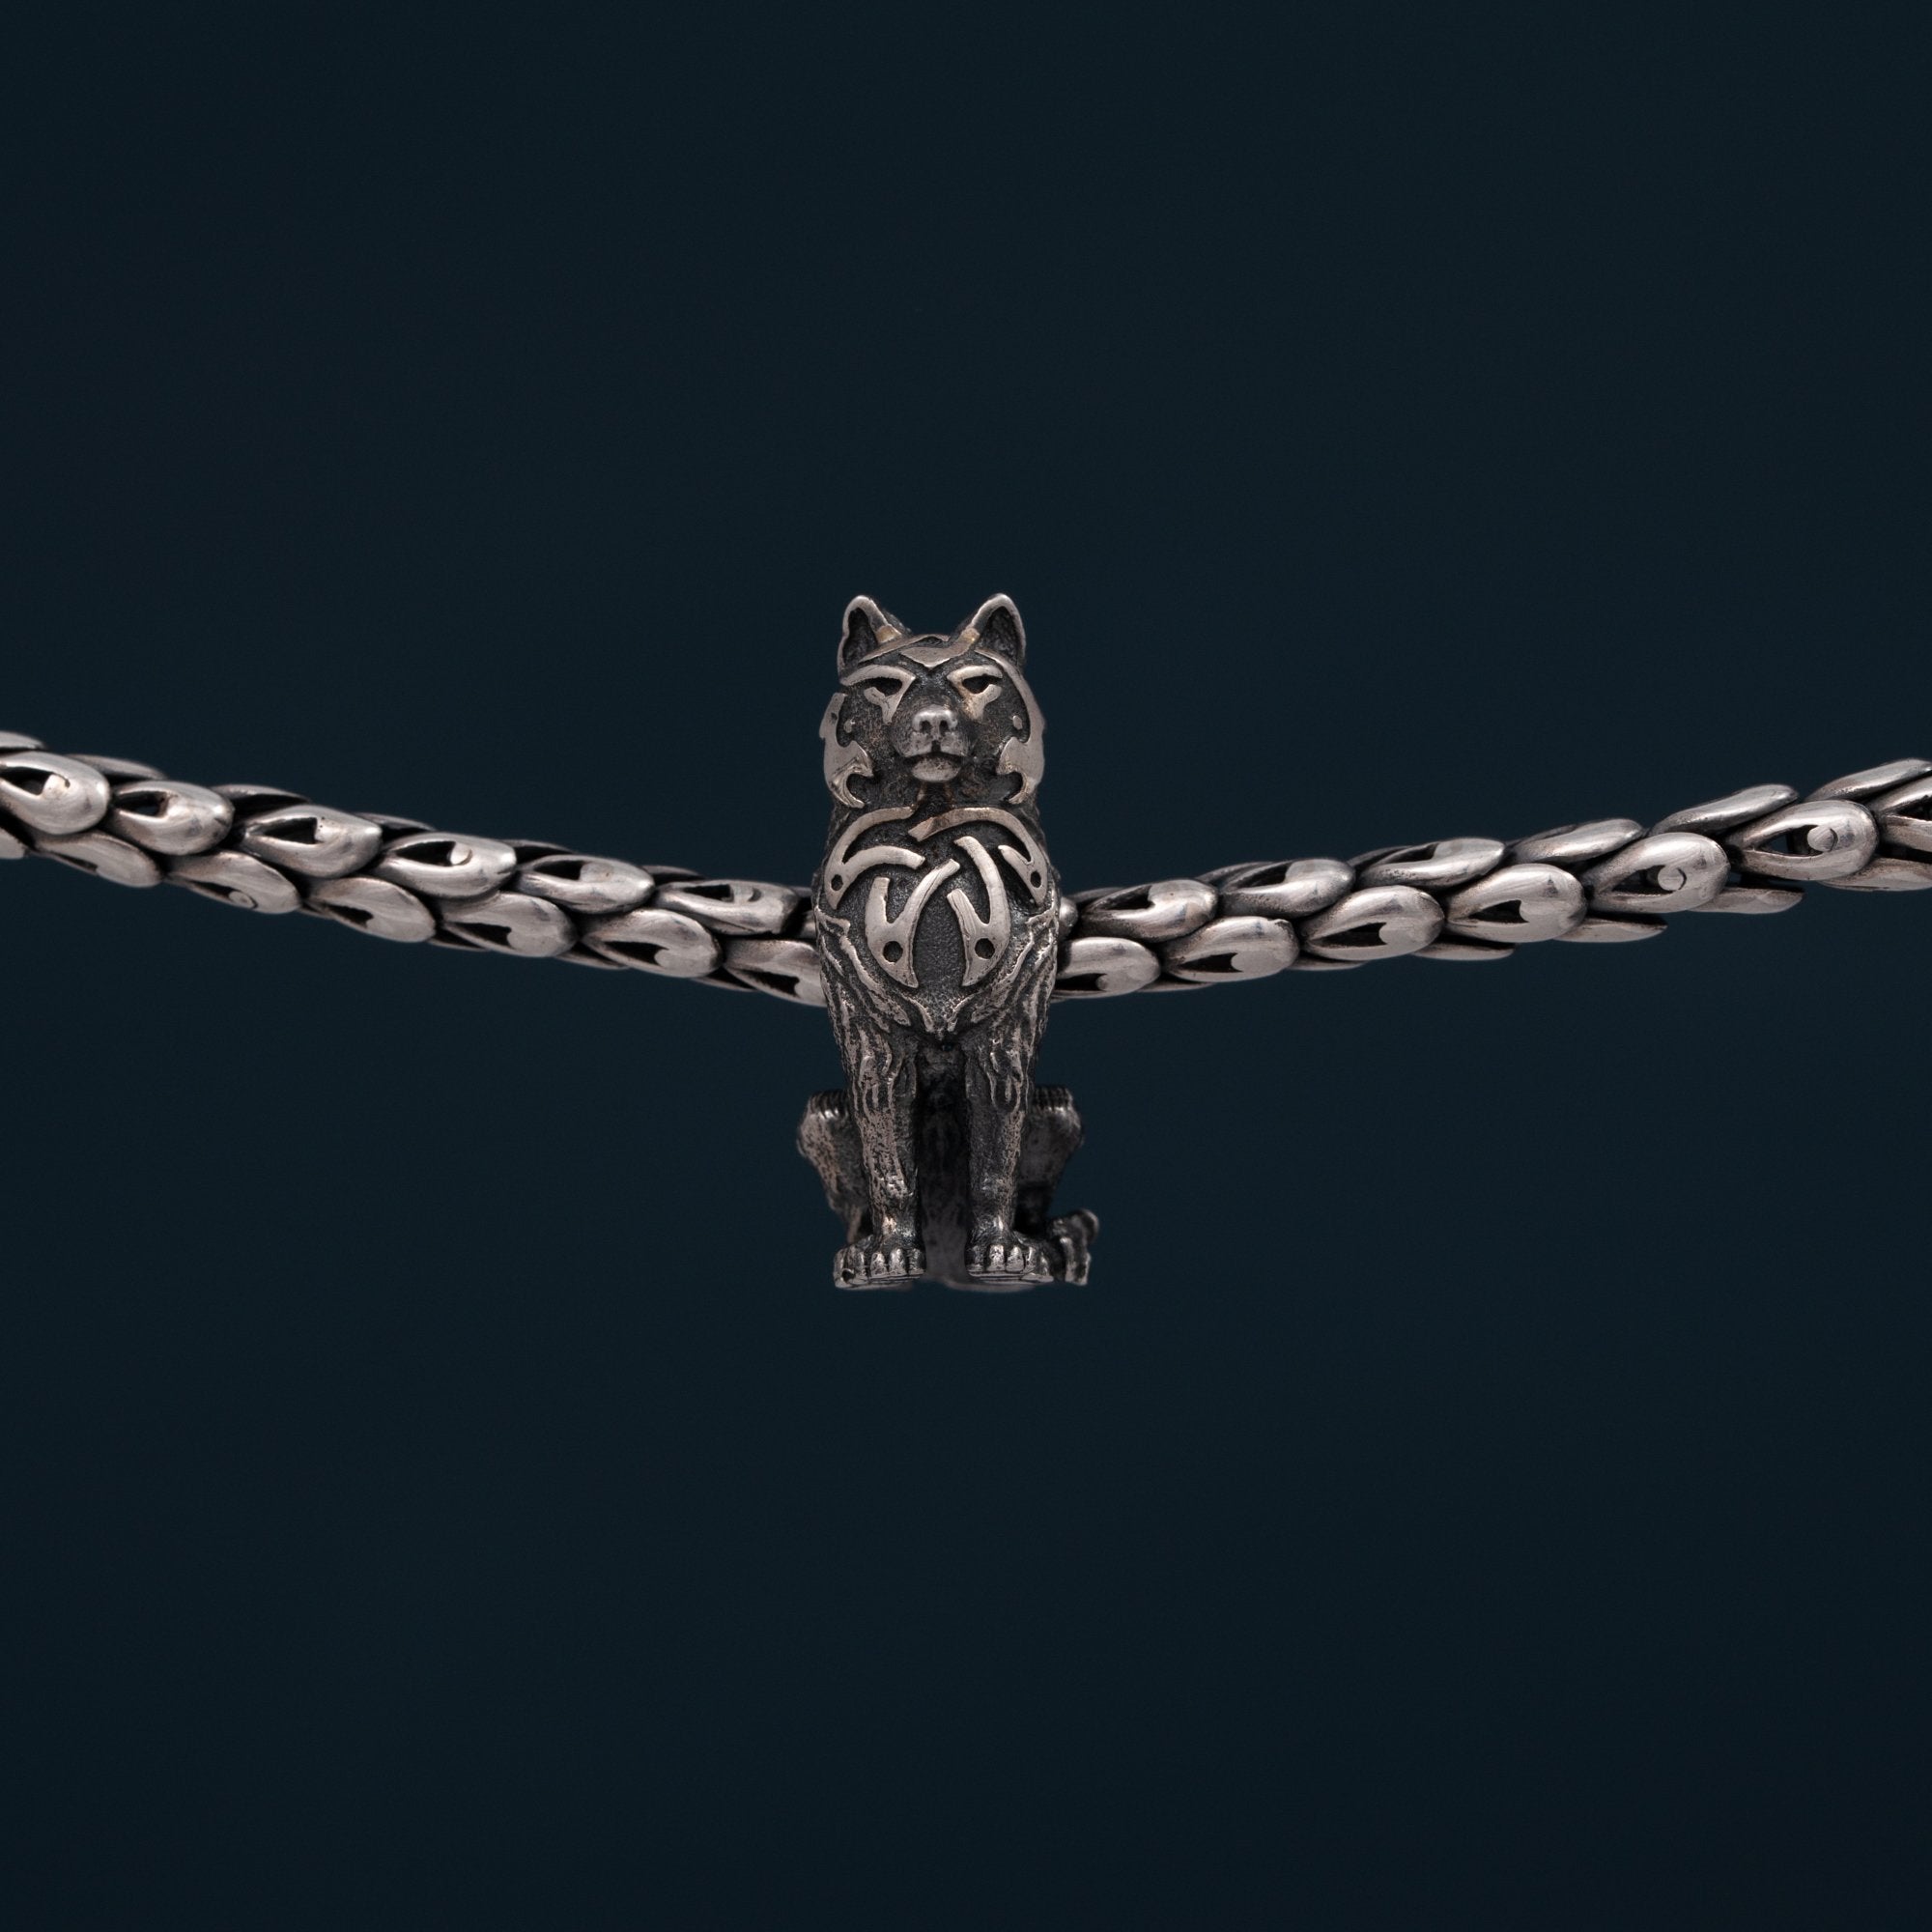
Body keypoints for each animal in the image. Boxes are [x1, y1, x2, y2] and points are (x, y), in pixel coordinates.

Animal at [798, 594, 1096, 1290]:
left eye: (976, 683)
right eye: (886, 686)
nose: (933, 722)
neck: (933, 822)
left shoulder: (1003, 1040)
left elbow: (995, 1161)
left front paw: (1003, 1251)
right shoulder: (875, 1042)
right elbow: (888, 1161)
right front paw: (885, 1254)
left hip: (1058, 1111)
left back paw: (1059, 1241)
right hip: (821, 1114)